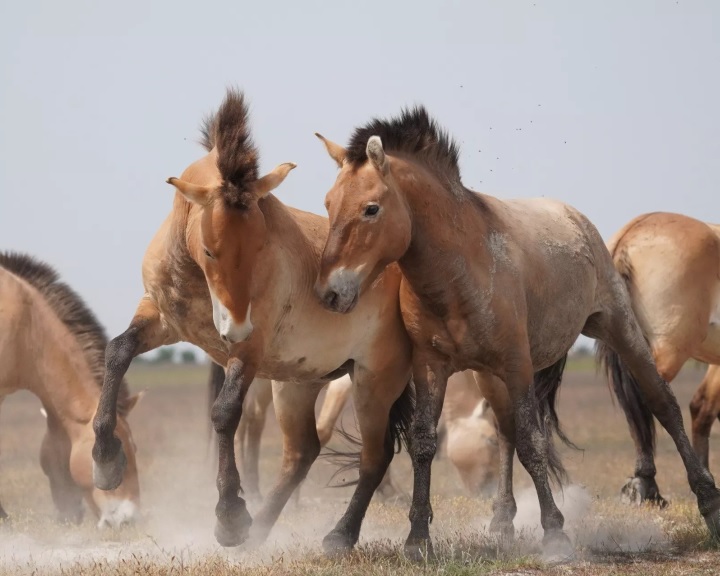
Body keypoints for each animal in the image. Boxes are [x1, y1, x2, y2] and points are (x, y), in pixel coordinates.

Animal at [93, 86, 414, 552]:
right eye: (211, 250)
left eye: (262, 244)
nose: (235, 326)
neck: (195, 277)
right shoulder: (159, 317)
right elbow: (117, 352)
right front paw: (105, 459)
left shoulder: (248, 352)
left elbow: (225, 413)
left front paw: (229, 516)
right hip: (299, 382)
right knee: (302, 452)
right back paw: (262, 528)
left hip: (373, 380)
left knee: (375, 455)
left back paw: (332, 534)